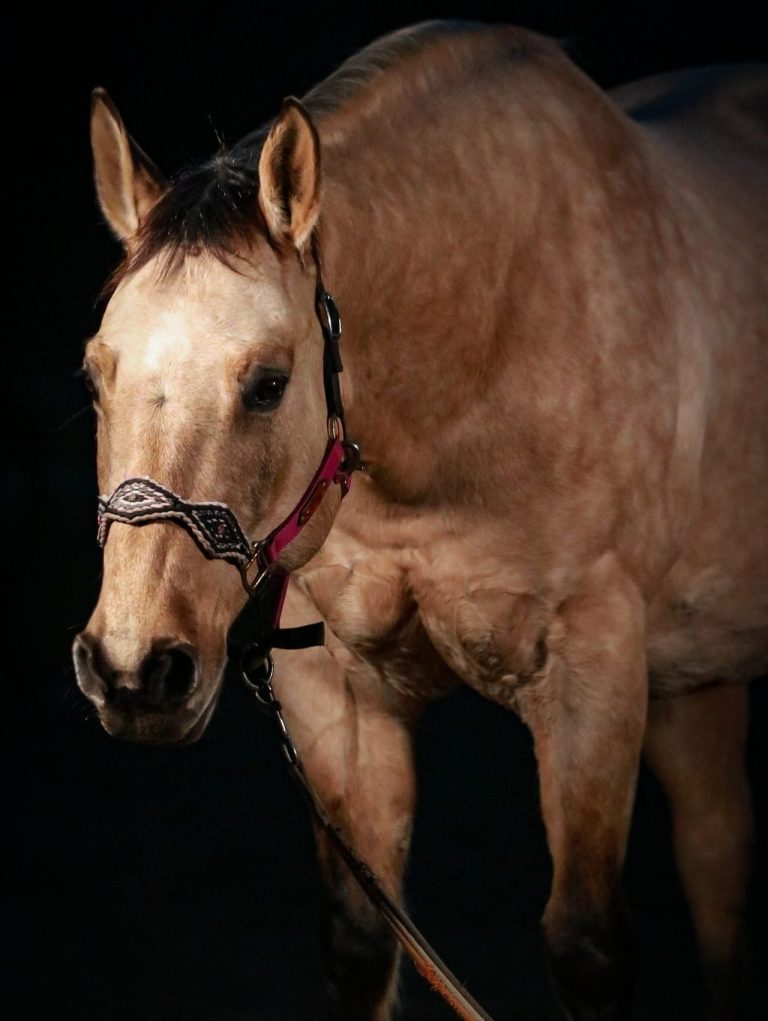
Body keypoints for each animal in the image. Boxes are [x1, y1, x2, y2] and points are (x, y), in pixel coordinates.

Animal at [73, 20, 768, 1020]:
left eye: (268, 383)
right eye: (95, 376)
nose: (134, 670)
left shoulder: (592, 674)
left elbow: (588, 944)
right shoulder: (334, 688)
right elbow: (366, 938)